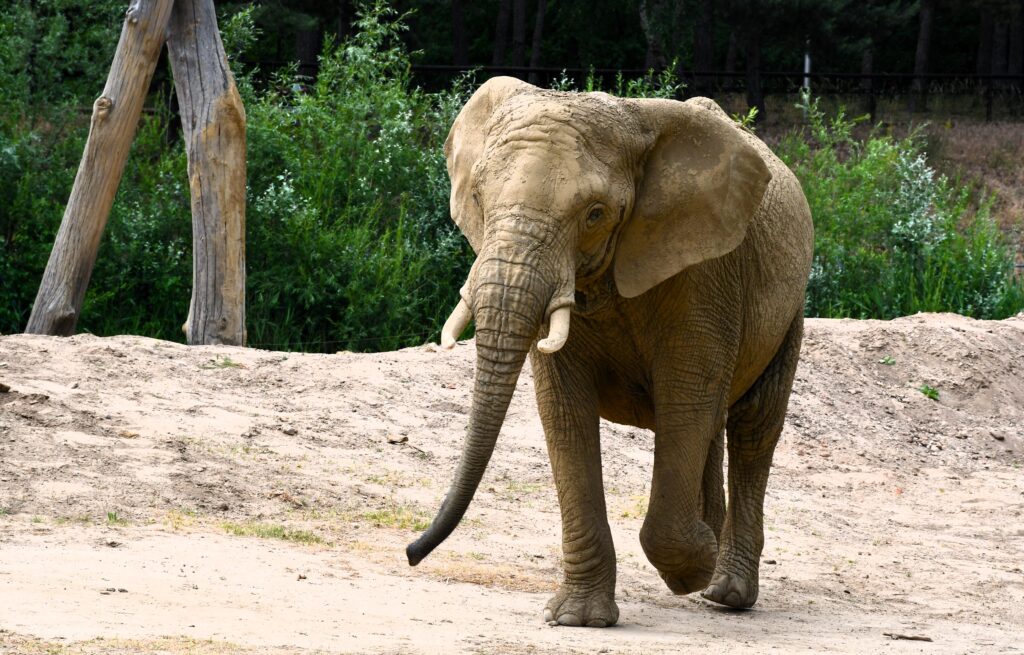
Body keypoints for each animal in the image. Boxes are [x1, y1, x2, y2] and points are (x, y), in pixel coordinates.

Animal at [403, 75, 811, 622]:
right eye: (478, 197)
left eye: (595, 214)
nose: (411, 553)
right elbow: (564, 410)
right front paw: (579, 619)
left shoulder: (706, 273)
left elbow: (686, 398)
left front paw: (693, 567)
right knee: (714, 428)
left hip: (788, 311)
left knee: (752, 426)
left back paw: (724, 591)